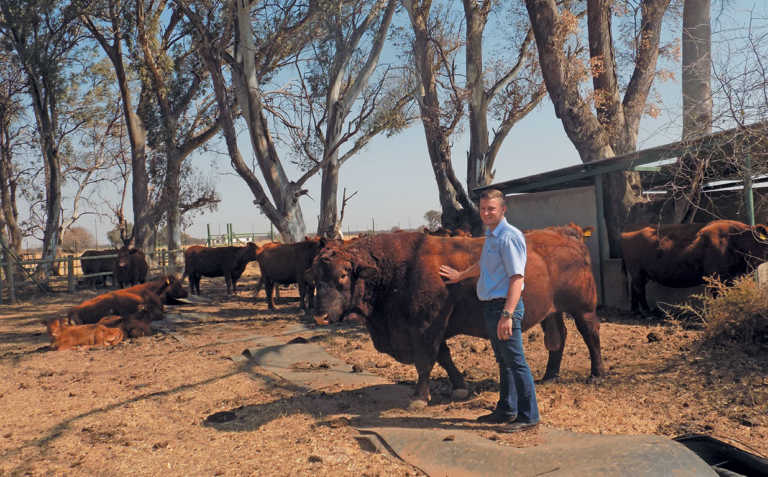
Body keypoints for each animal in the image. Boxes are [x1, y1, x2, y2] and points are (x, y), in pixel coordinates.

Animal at [314, 227, 608, 406]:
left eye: (343, 274)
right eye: (315, 275)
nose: (320, 316)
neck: (397, 269)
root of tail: (565, 232)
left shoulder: (426, 327)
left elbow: (426, 361)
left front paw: (419, 397)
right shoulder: (432, 329)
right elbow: (444, 357)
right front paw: (459, 387)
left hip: (582, 308)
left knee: (590, 335)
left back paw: (597, 374)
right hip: (552, 311)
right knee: (557, 339)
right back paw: (549, 375)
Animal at [620, 218, 768, 314]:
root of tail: (628, 230)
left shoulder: (730, 278)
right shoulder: (715, 277)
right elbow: (718, 297)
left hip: (642, 274)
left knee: (635, 288)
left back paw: (636, 311)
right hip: (637, 272)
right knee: (639, 289)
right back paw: (646, 312)